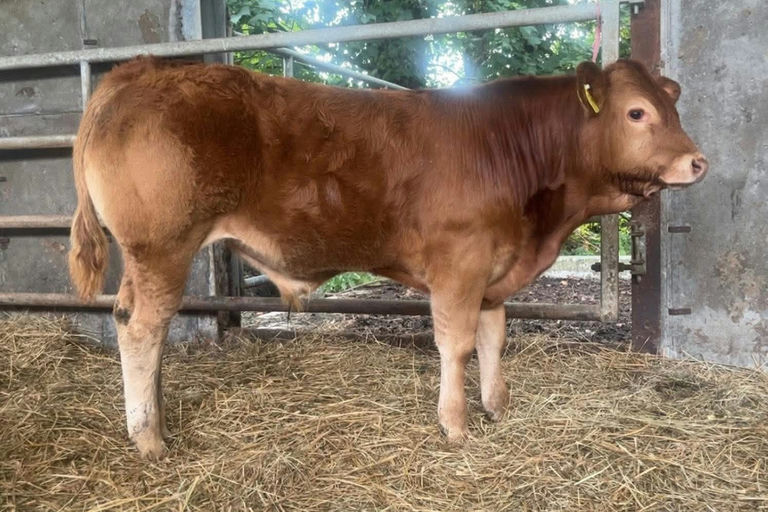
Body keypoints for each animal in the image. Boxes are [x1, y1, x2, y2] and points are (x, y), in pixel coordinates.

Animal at [68, 56, 707, 459]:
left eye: (670, 108)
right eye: (636, 113)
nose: (697, 161)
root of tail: (140, 69)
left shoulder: (494, 272)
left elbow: (494, 339)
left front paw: (497, 407)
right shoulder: (459, 263)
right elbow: (457, 344)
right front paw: (455, 426)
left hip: (147, 257)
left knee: (127, 320)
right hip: (163, 247)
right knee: (142, 329)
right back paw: (150, 438)